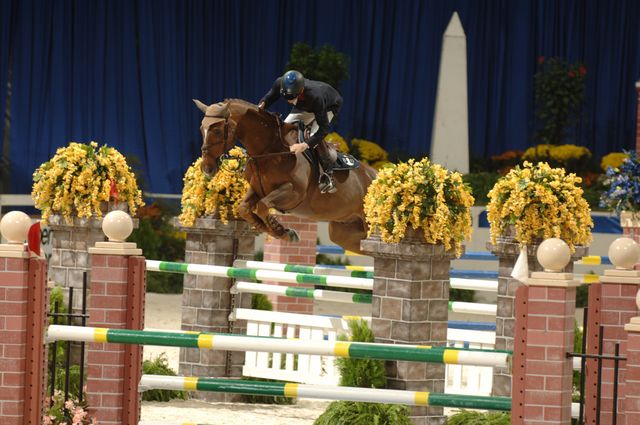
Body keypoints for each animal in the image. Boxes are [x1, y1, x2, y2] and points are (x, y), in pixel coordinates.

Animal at [192, 97, 378, 253]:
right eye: (201, 128)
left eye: (216, 131)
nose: (207, 168)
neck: (270, 150)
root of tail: (375, 174)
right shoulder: (257, 189)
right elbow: (244, 209)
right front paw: (283, 232)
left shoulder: (293, 193)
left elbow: (262, 206)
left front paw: (283, 231)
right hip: (343, 232)